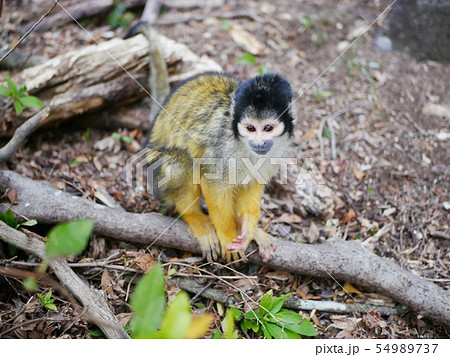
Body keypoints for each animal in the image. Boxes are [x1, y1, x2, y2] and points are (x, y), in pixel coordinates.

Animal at [125, 22, 296, 262]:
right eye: (251, 128)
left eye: (268, 129)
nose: (260, 143)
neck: (242, 145)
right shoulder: (222, 148)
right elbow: (212, 181)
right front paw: (227, 233)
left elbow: (252, 183)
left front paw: (248, 227)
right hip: (155, 171)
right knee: (183, 161)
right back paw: (194, 217)